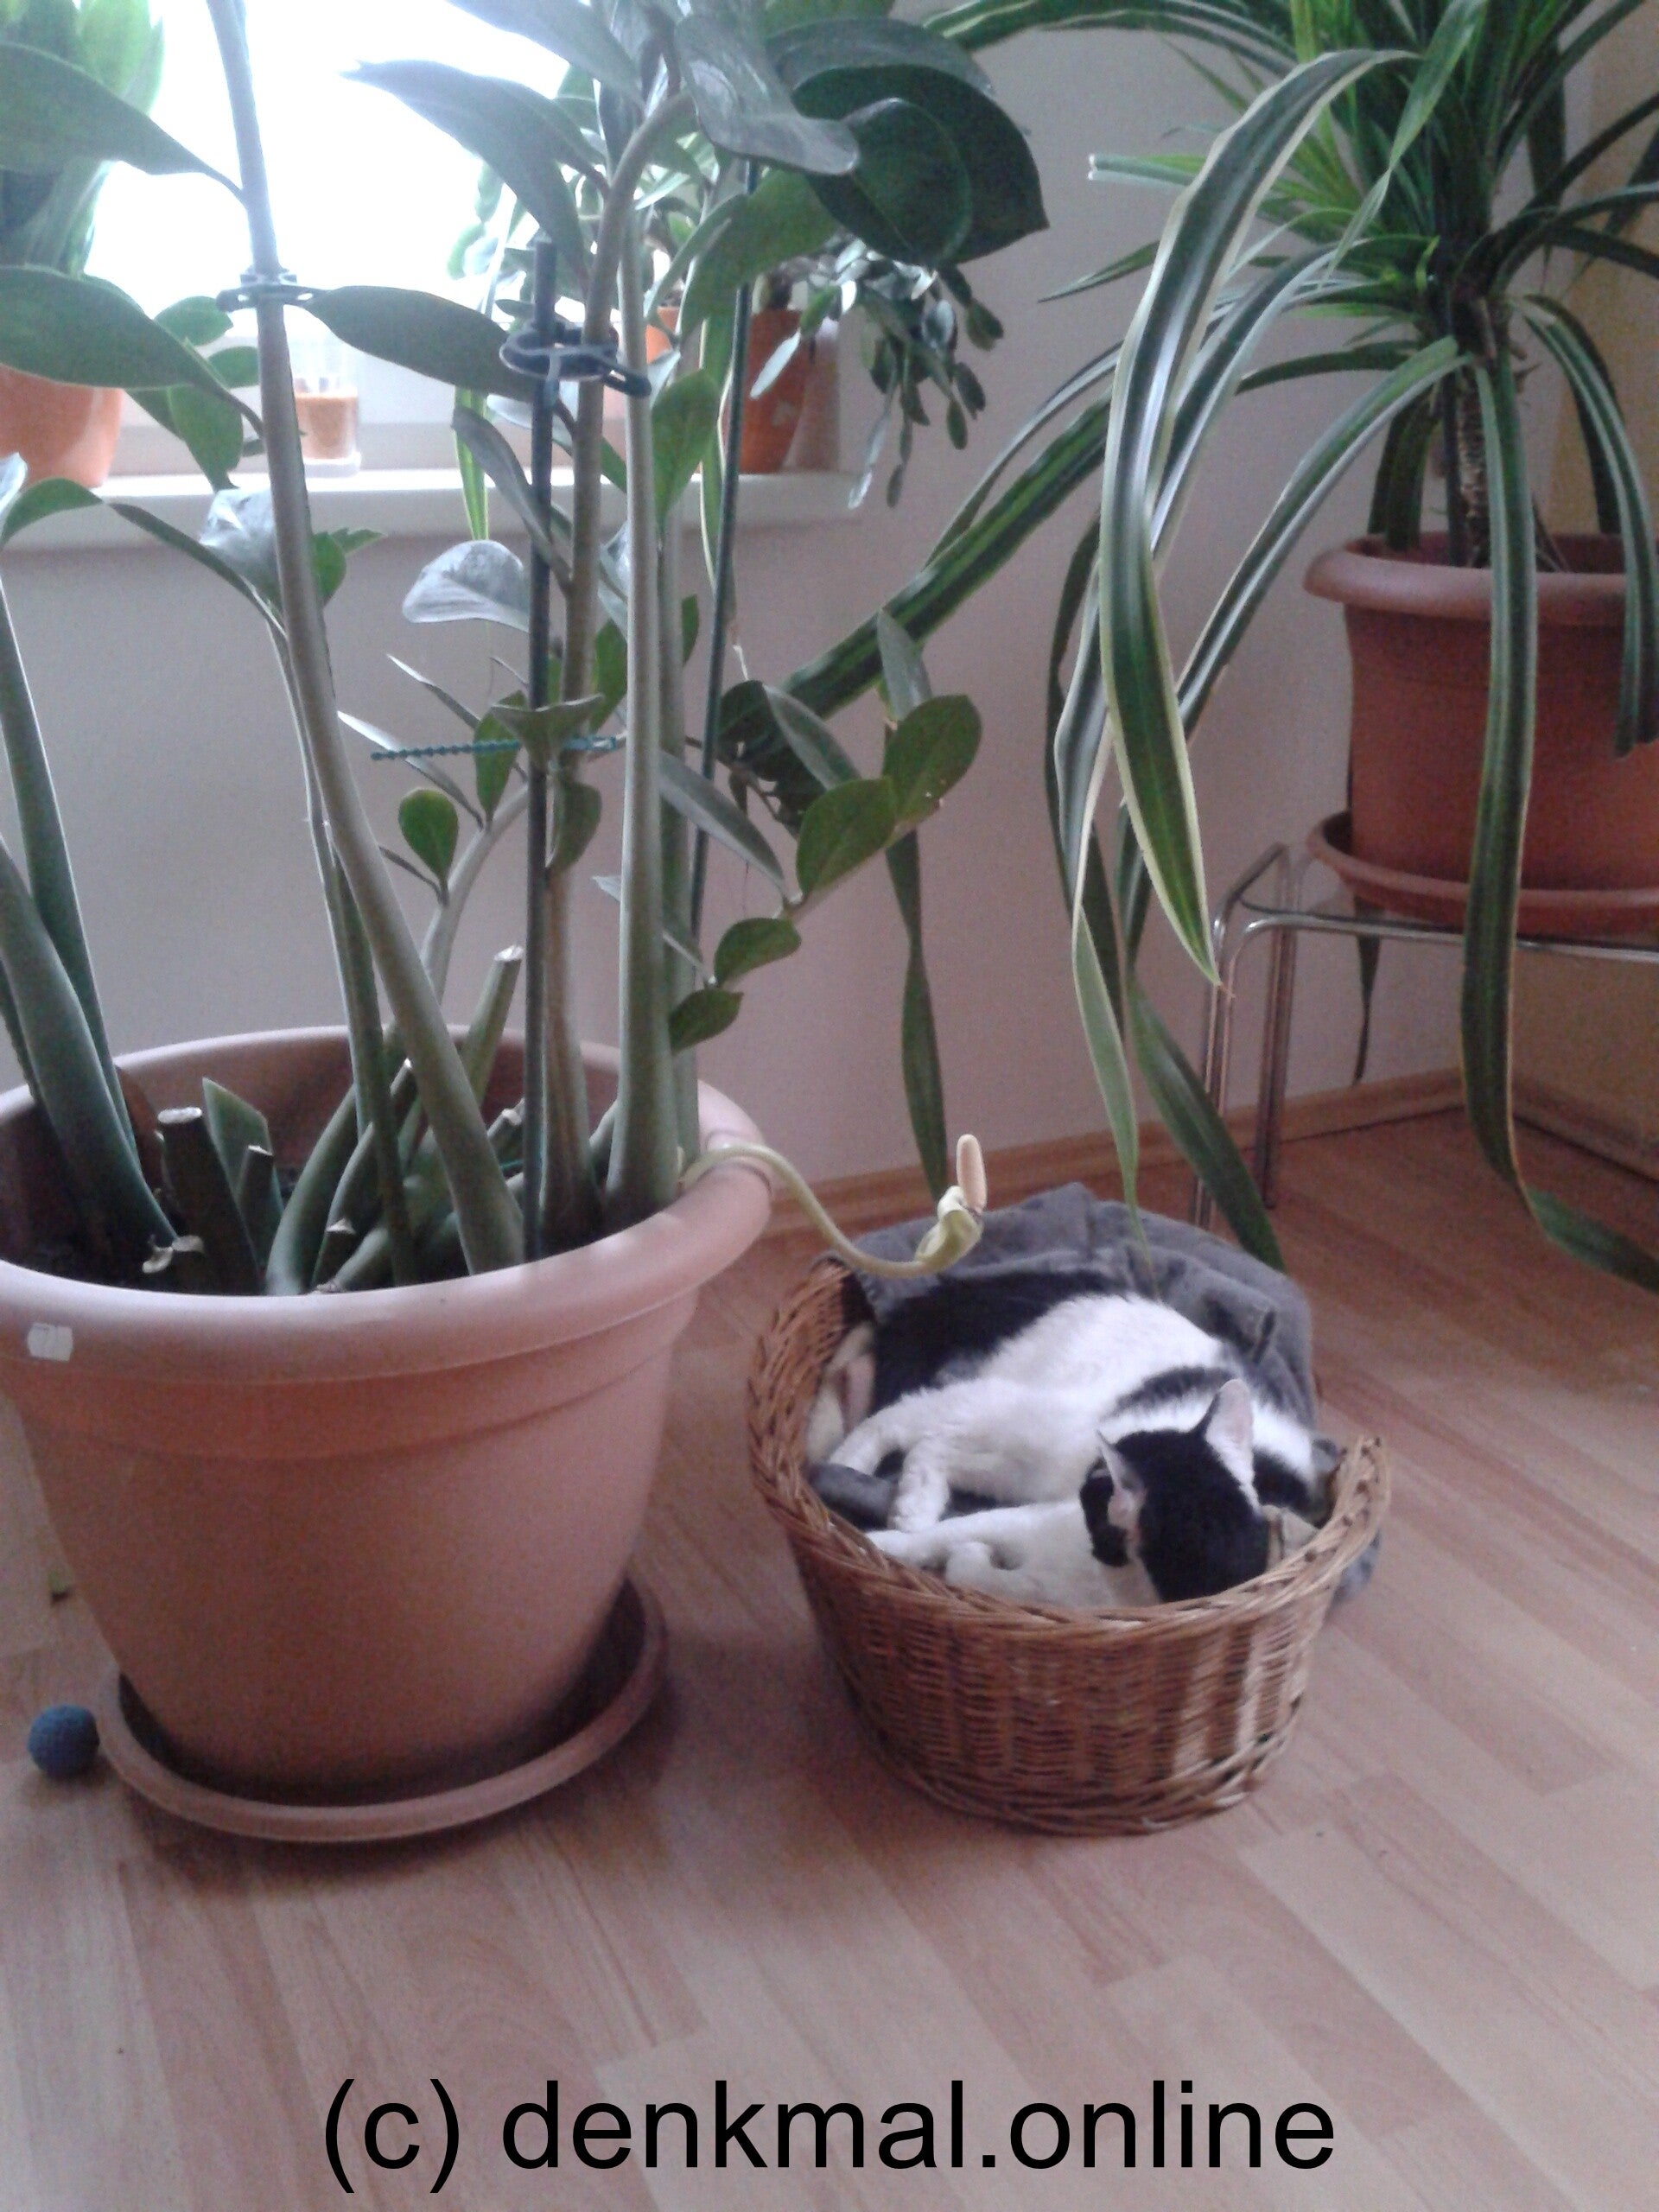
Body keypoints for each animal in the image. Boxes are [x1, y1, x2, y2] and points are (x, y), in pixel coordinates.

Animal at [808, 1276, 1338, 1607]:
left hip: (1040, 1452)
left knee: (937, 1445)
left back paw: (912, 1500)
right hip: (1042, 1420)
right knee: (904, 1417)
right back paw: (851, 1466)